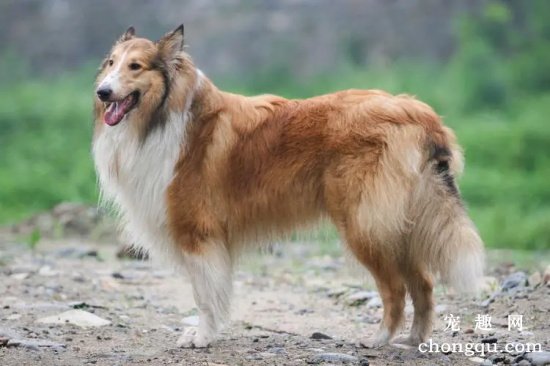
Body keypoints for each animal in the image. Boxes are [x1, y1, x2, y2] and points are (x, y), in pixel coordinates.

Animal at [92, 25, 486, 348]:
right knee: (423, 283)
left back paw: (379, 339)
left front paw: (201, 337)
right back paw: (413, 340)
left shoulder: (198, 234)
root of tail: (419, 113)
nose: (102, 92)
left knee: (396, 288)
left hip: (364, 224)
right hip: (398, 224)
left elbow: (205, 296)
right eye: (111, 62)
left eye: (136, 67)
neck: (161, 119)